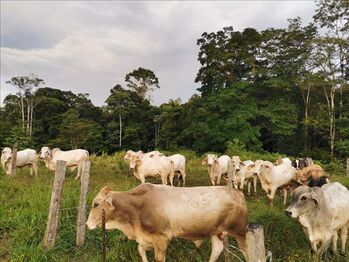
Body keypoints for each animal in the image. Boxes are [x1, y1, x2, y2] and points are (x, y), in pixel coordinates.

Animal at [85, 184, 246, 262]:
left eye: (96, 204)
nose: (87, 224)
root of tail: (238, 192)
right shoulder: (145, 238)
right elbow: (141, 251)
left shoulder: (162, 239)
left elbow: (158, 258)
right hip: (216, 232)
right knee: (217, 250)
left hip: (240, 232)